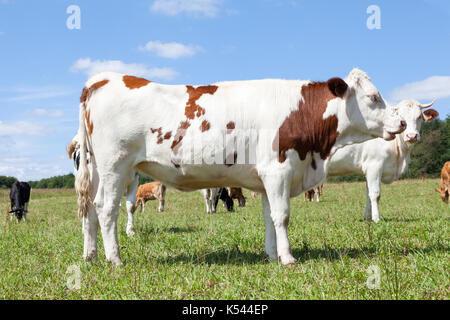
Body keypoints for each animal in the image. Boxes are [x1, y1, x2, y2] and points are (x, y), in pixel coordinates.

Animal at [73, 68, 404, 264]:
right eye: (373, 97)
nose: (401, 122)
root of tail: (104, 77)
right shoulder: (278, 170)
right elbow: (282, 217)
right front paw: (288, 258)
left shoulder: (266, 178)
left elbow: (269, 217)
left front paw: (272, 255)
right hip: (116, 166)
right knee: (106, 209)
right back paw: (114, 259)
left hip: (97, 169)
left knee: (90, 209)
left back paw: (90, 255)